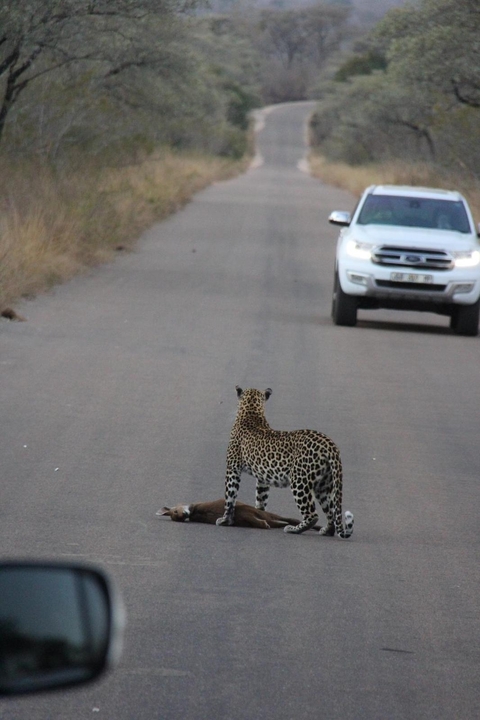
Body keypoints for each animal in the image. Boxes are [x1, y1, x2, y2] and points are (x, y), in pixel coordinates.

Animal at [216, 386, 354, 537]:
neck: (251, 411)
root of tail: (329, 444)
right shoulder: (262, 478)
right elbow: (261, 498)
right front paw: (260, 515)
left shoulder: (232, 468)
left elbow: (230, 495)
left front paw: (225, 520)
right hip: (324, 484)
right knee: (331, 512)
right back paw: (326, 530)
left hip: (299, 480)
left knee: (312, 514)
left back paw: (293, 529)